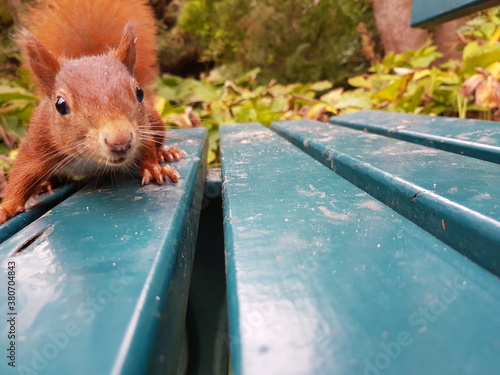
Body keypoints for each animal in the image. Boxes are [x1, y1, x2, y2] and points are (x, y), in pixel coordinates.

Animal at [0, 0, 186, 223]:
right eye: (60, 104)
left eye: (139, 92)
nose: (120, 141)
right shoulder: (38, 141)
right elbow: (21, 175)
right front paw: (6, 208)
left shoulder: (143, 129)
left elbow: (147, 147)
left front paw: (155, 168)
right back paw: (46, 184)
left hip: (154, 119)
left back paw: (166, 152)